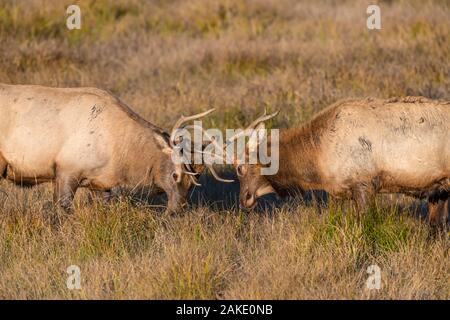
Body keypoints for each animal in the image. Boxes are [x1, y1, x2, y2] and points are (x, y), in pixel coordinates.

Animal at [0, 83, 230, 212]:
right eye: (175, 175)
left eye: (193, 184)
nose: (176, 211)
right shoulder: (66, 169)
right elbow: (61, 210)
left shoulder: (100, 183)